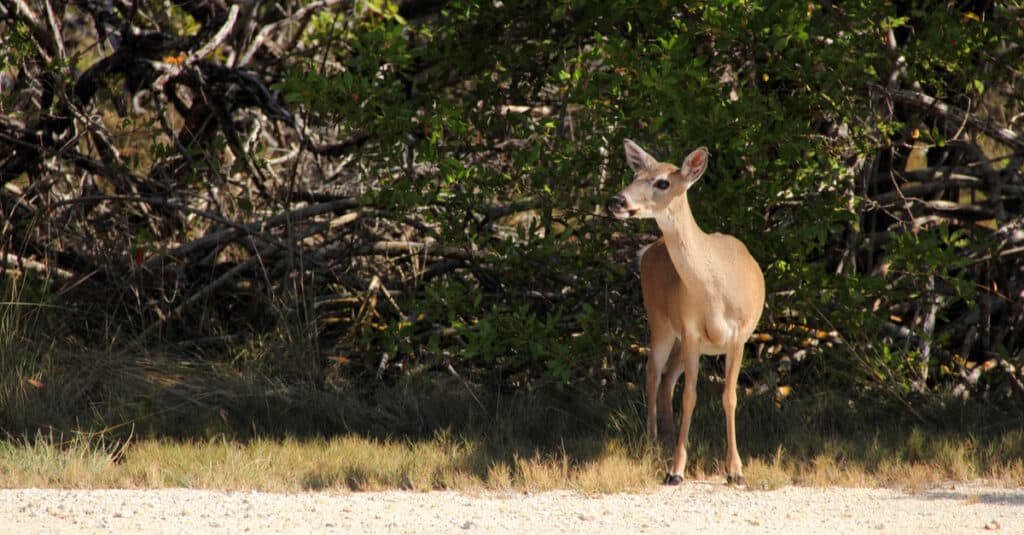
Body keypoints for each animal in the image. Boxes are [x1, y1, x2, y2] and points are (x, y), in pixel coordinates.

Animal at [602, 139, 765, 485]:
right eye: (635, 174)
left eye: (663, 182)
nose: (616, 201)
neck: (715, 291)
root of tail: (648, 250)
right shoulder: (691, 330)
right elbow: (690, 395)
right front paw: (675, 470)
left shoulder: (738, 334)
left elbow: (729, 396)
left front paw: (736, 471)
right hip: (659, 320)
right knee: (652, 371)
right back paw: (653, 440)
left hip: (680, 337)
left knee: (666, 378)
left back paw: (666, 437)